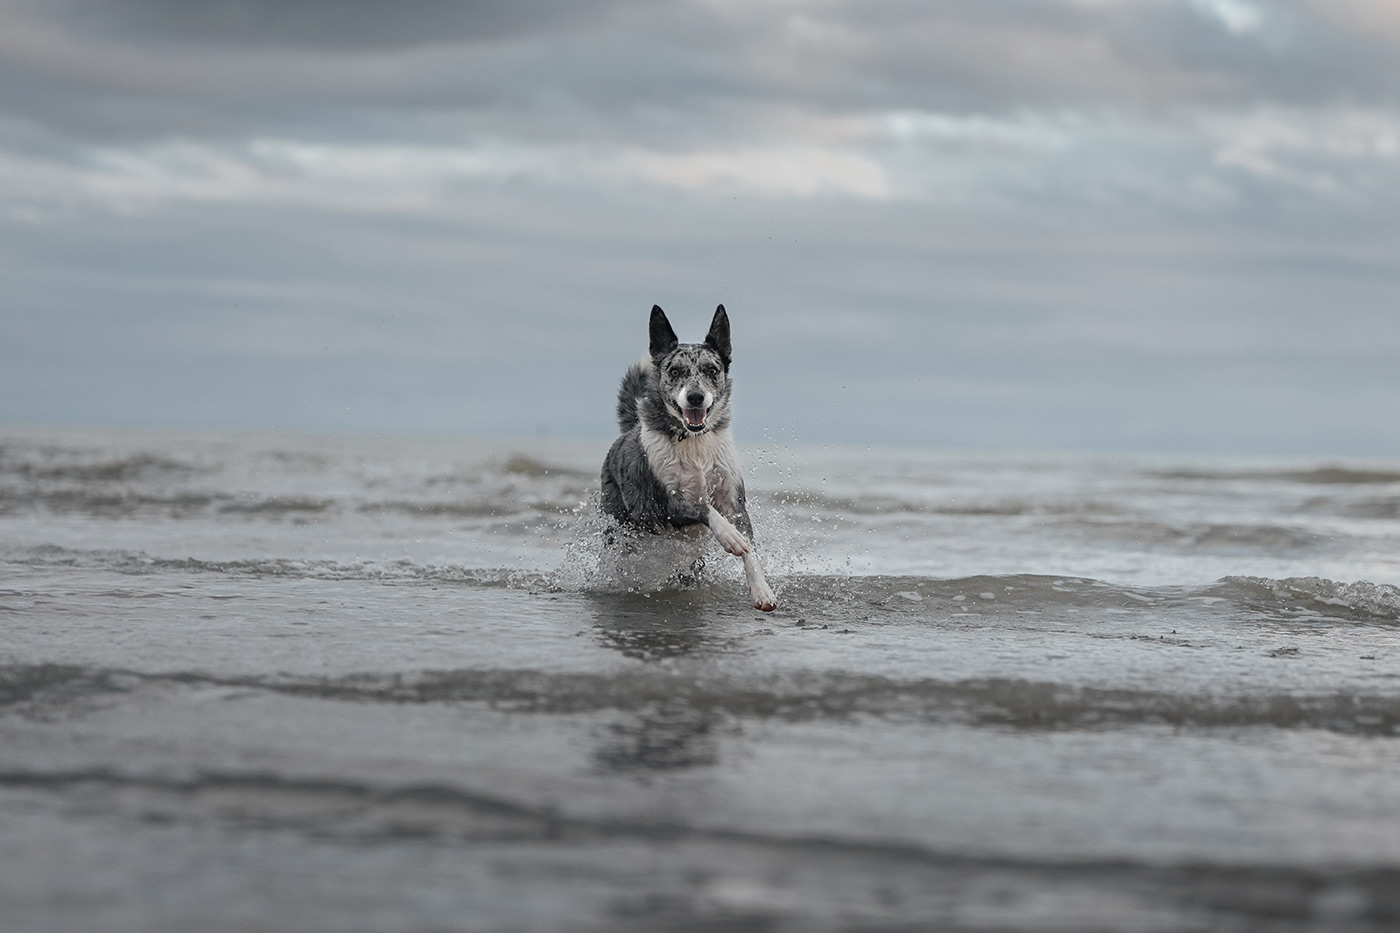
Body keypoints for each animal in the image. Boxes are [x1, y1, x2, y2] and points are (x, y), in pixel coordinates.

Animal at [599, 303, 784, 610]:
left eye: (712, 370)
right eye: (675, 371)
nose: (696, 397)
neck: (693, 440)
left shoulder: (734, 501)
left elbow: (749, 547)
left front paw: (762, 590)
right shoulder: (664, 504)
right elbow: (703, 508)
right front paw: (729, 536)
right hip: (620, 527)